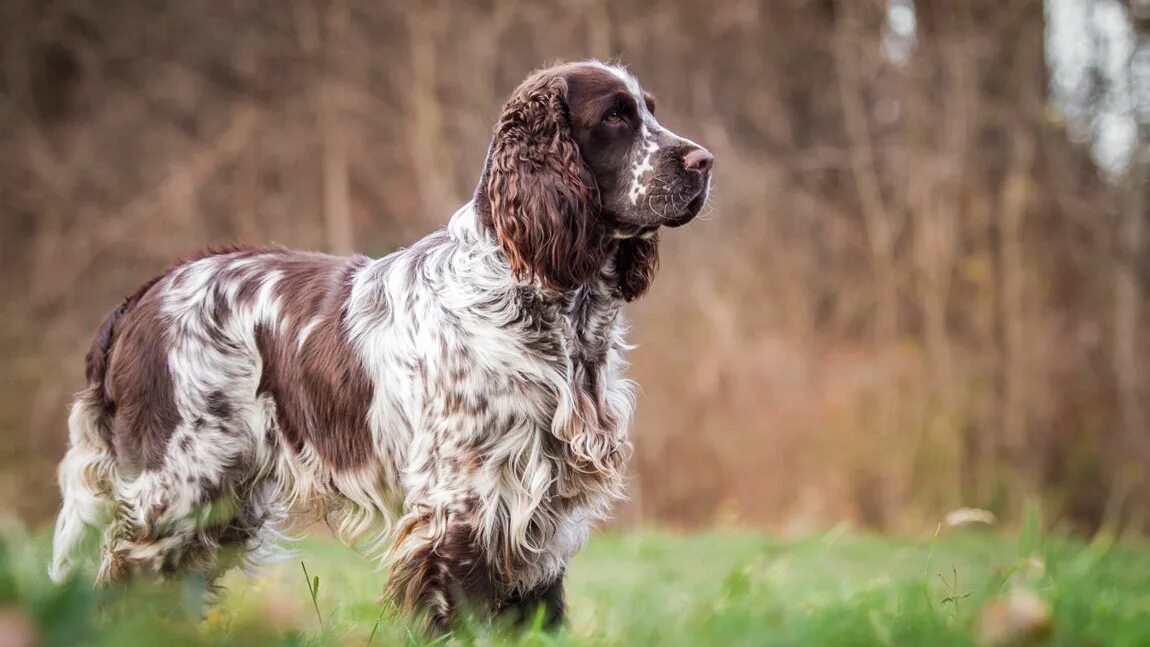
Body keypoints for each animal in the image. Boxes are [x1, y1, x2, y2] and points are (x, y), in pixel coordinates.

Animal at [51, 62, 708, 634]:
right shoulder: (464, 510)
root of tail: (141, 298)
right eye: (615, 117)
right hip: (176, 491)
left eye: (650, 110)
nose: (704, 161)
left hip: (219, 505)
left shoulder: (539, 515)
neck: (541, 303)